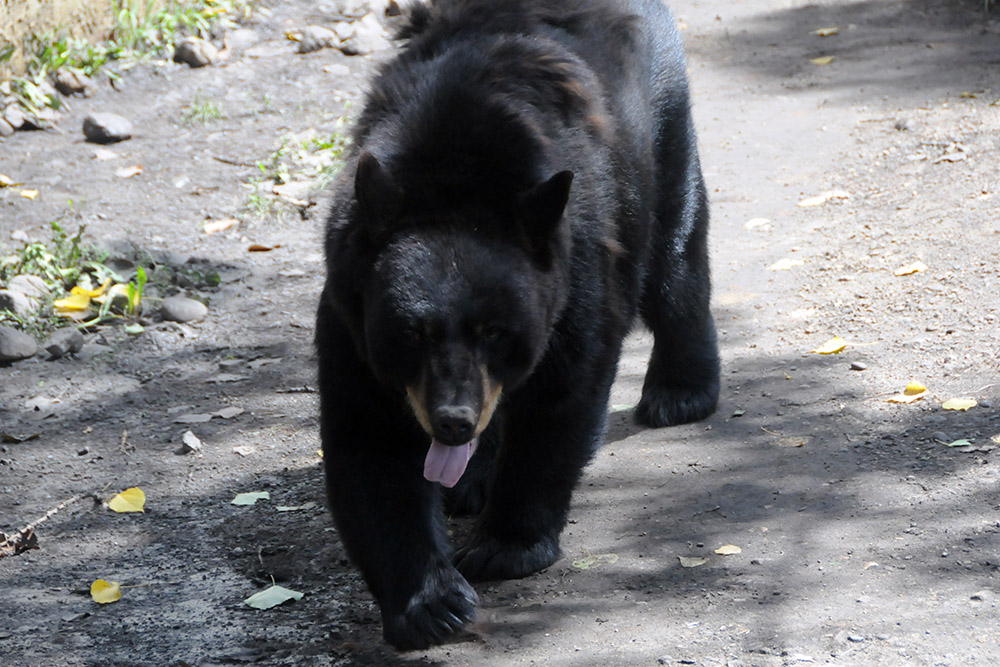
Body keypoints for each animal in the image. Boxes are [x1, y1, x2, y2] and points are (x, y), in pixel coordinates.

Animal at [315, 0, 719, 650]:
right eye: (412, 333)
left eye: (495, 331)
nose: (452, 421)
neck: (453, 178)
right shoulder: (352, 311)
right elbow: (370, 438)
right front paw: (430, 603)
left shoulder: (575, 264)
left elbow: (561, 397)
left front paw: (505, 547)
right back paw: (468, 480)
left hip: (662, 130)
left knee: (674, 257)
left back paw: (679, 392)